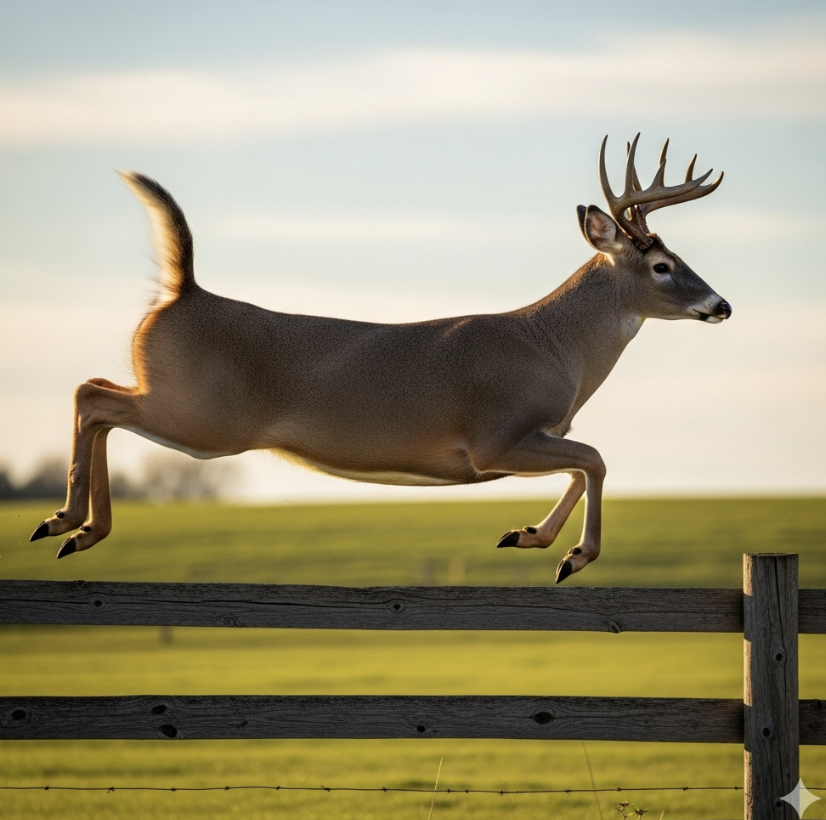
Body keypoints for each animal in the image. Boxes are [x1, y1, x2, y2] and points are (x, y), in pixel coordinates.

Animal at [30, 134, 730, 583]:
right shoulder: (494, 438)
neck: (555, 347)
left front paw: (529, 536)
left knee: (95, 391)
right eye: (662, 266)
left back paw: (78, 529)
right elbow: (596, 458)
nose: (721, 304)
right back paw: (66, 522)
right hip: (203, 418)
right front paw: (570, 556)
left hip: (186, 409)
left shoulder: (524, 439)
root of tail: (184, 290)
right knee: (92, 395)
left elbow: (583, 465)